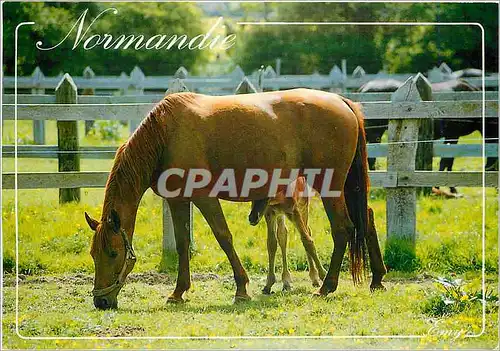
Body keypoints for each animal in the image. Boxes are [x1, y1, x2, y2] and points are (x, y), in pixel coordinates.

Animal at [85, 88, 382, 310]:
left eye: (113, 253)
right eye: (93, 254)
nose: (101, 301)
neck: (166, 134)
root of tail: (342, 102)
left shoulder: (205, 198)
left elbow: (224, 237)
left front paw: (241, 288)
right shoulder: (178, 201)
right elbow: (182, 244)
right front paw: (179, 292)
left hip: (330, 187)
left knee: (343, 229)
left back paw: (327, 286)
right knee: (366, 218)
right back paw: (377, 279)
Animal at [360, 75, 496, 195]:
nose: (489, 168)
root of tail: (364, 88)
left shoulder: (451, 137)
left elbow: (446, 162)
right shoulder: (453, 135)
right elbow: (447, 161)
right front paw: (447, 187)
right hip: (375, 134)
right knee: (371, 159)